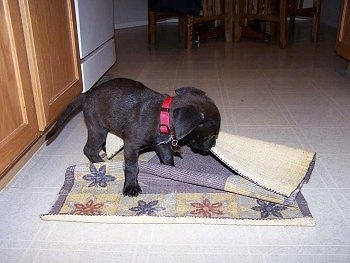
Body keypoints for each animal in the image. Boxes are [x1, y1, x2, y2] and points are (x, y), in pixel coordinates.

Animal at [46, 77, 220, 197]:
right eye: (209, 136)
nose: (212, 145)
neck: (162, 116)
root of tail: (88, 93)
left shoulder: (161, 145)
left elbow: (167, 159)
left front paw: (171, 173)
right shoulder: (131, 146)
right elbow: (132, 167)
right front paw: (130, 187)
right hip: (97, 129)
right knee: (88, 149)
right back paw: (101, 162)